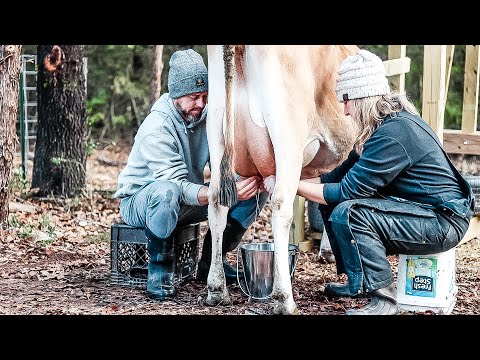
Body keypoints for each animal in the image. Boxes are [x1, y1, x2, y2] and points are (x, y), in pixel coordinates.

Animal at [204, 45, 358, 316]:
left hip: (216, 132)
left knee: (216, 204)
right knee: (281, 205)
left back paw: (217, 290)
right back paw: (284, 298)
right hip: (287, 137)